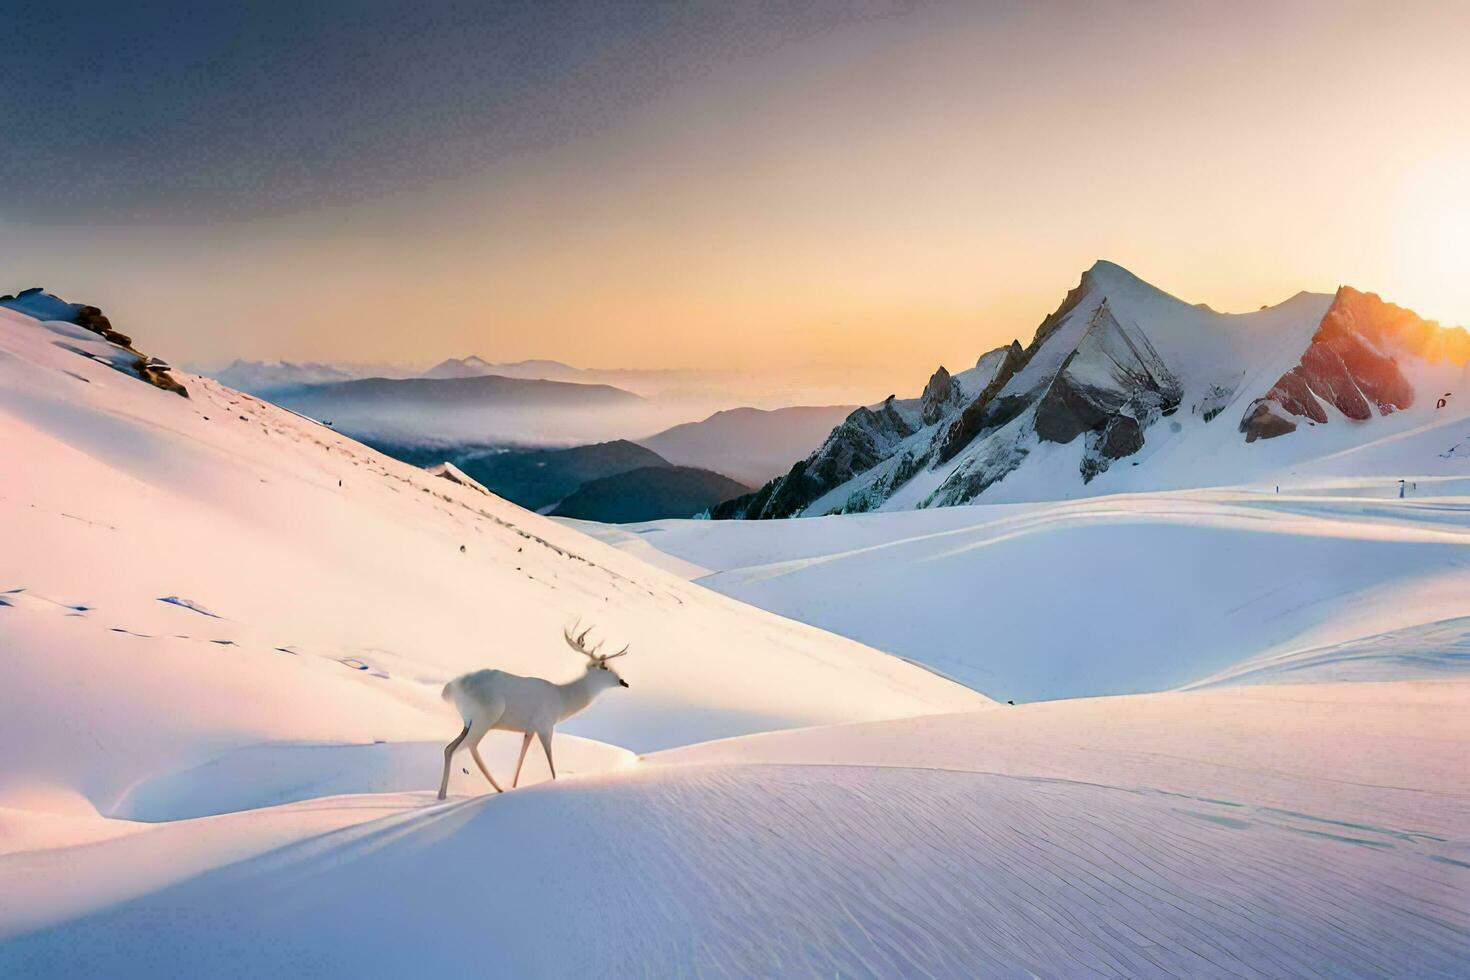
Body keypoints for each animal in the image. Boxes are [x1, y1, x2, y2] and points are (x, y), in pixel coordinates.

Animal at [429, 625, 626, 799]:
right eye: (605, 667)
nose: (623, 681)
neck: (563, 699)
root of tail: (452, 688)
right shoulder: (545, 726)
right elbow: (550, 760)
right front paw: (555, 781)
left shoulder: (529, 729)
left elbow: (521, 757)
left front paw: (515, 785)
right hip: (484, 720)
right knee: (469, 747)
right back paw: (496, 788)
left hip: (467, 723)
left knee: (449, 748)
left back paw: (442, 794)